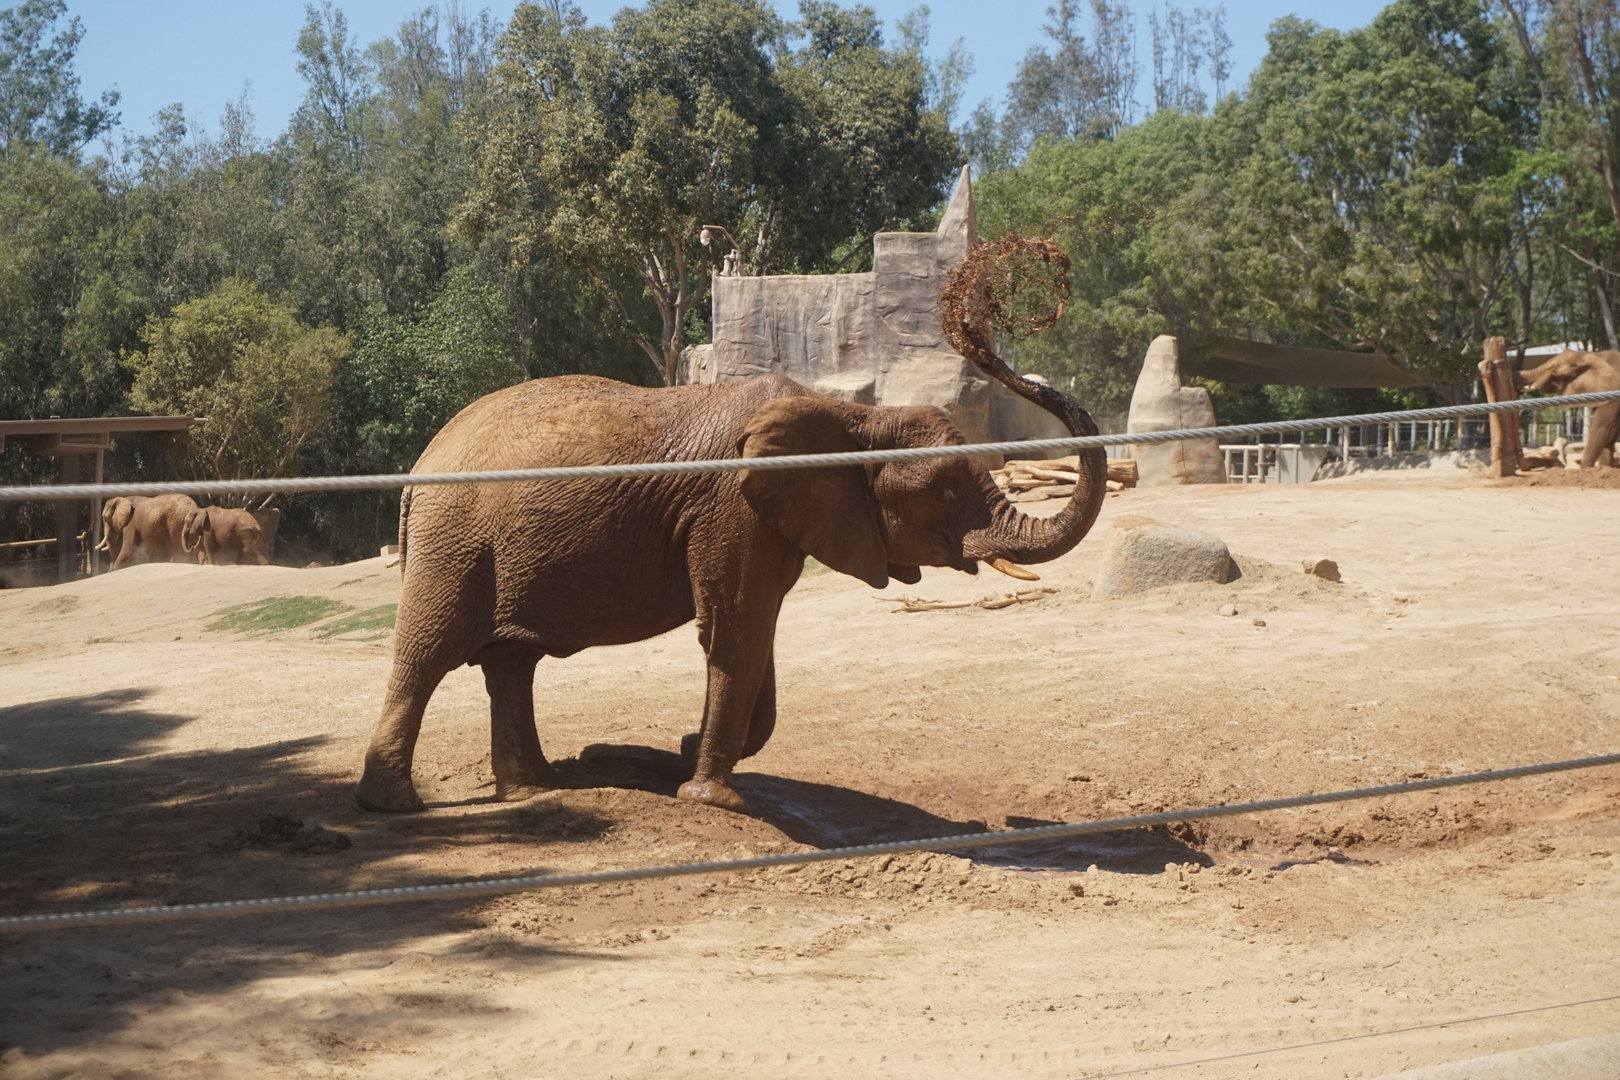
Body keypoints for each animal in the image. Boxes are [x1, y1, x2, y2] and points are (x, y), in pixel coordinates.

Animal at [354, 357, 1108, 817]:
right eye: (944, 488)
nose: (1021, 370)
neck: (844, 414)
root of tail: (419, 467)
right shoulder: (731, 507)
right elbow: (736, 630)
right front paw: (710, 797)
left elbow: (755, 638)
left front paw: (677, 756)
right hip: (455, 542)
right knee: (428, 653)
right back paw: (396, 805)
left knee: (510, 663)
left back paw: (535, 789)